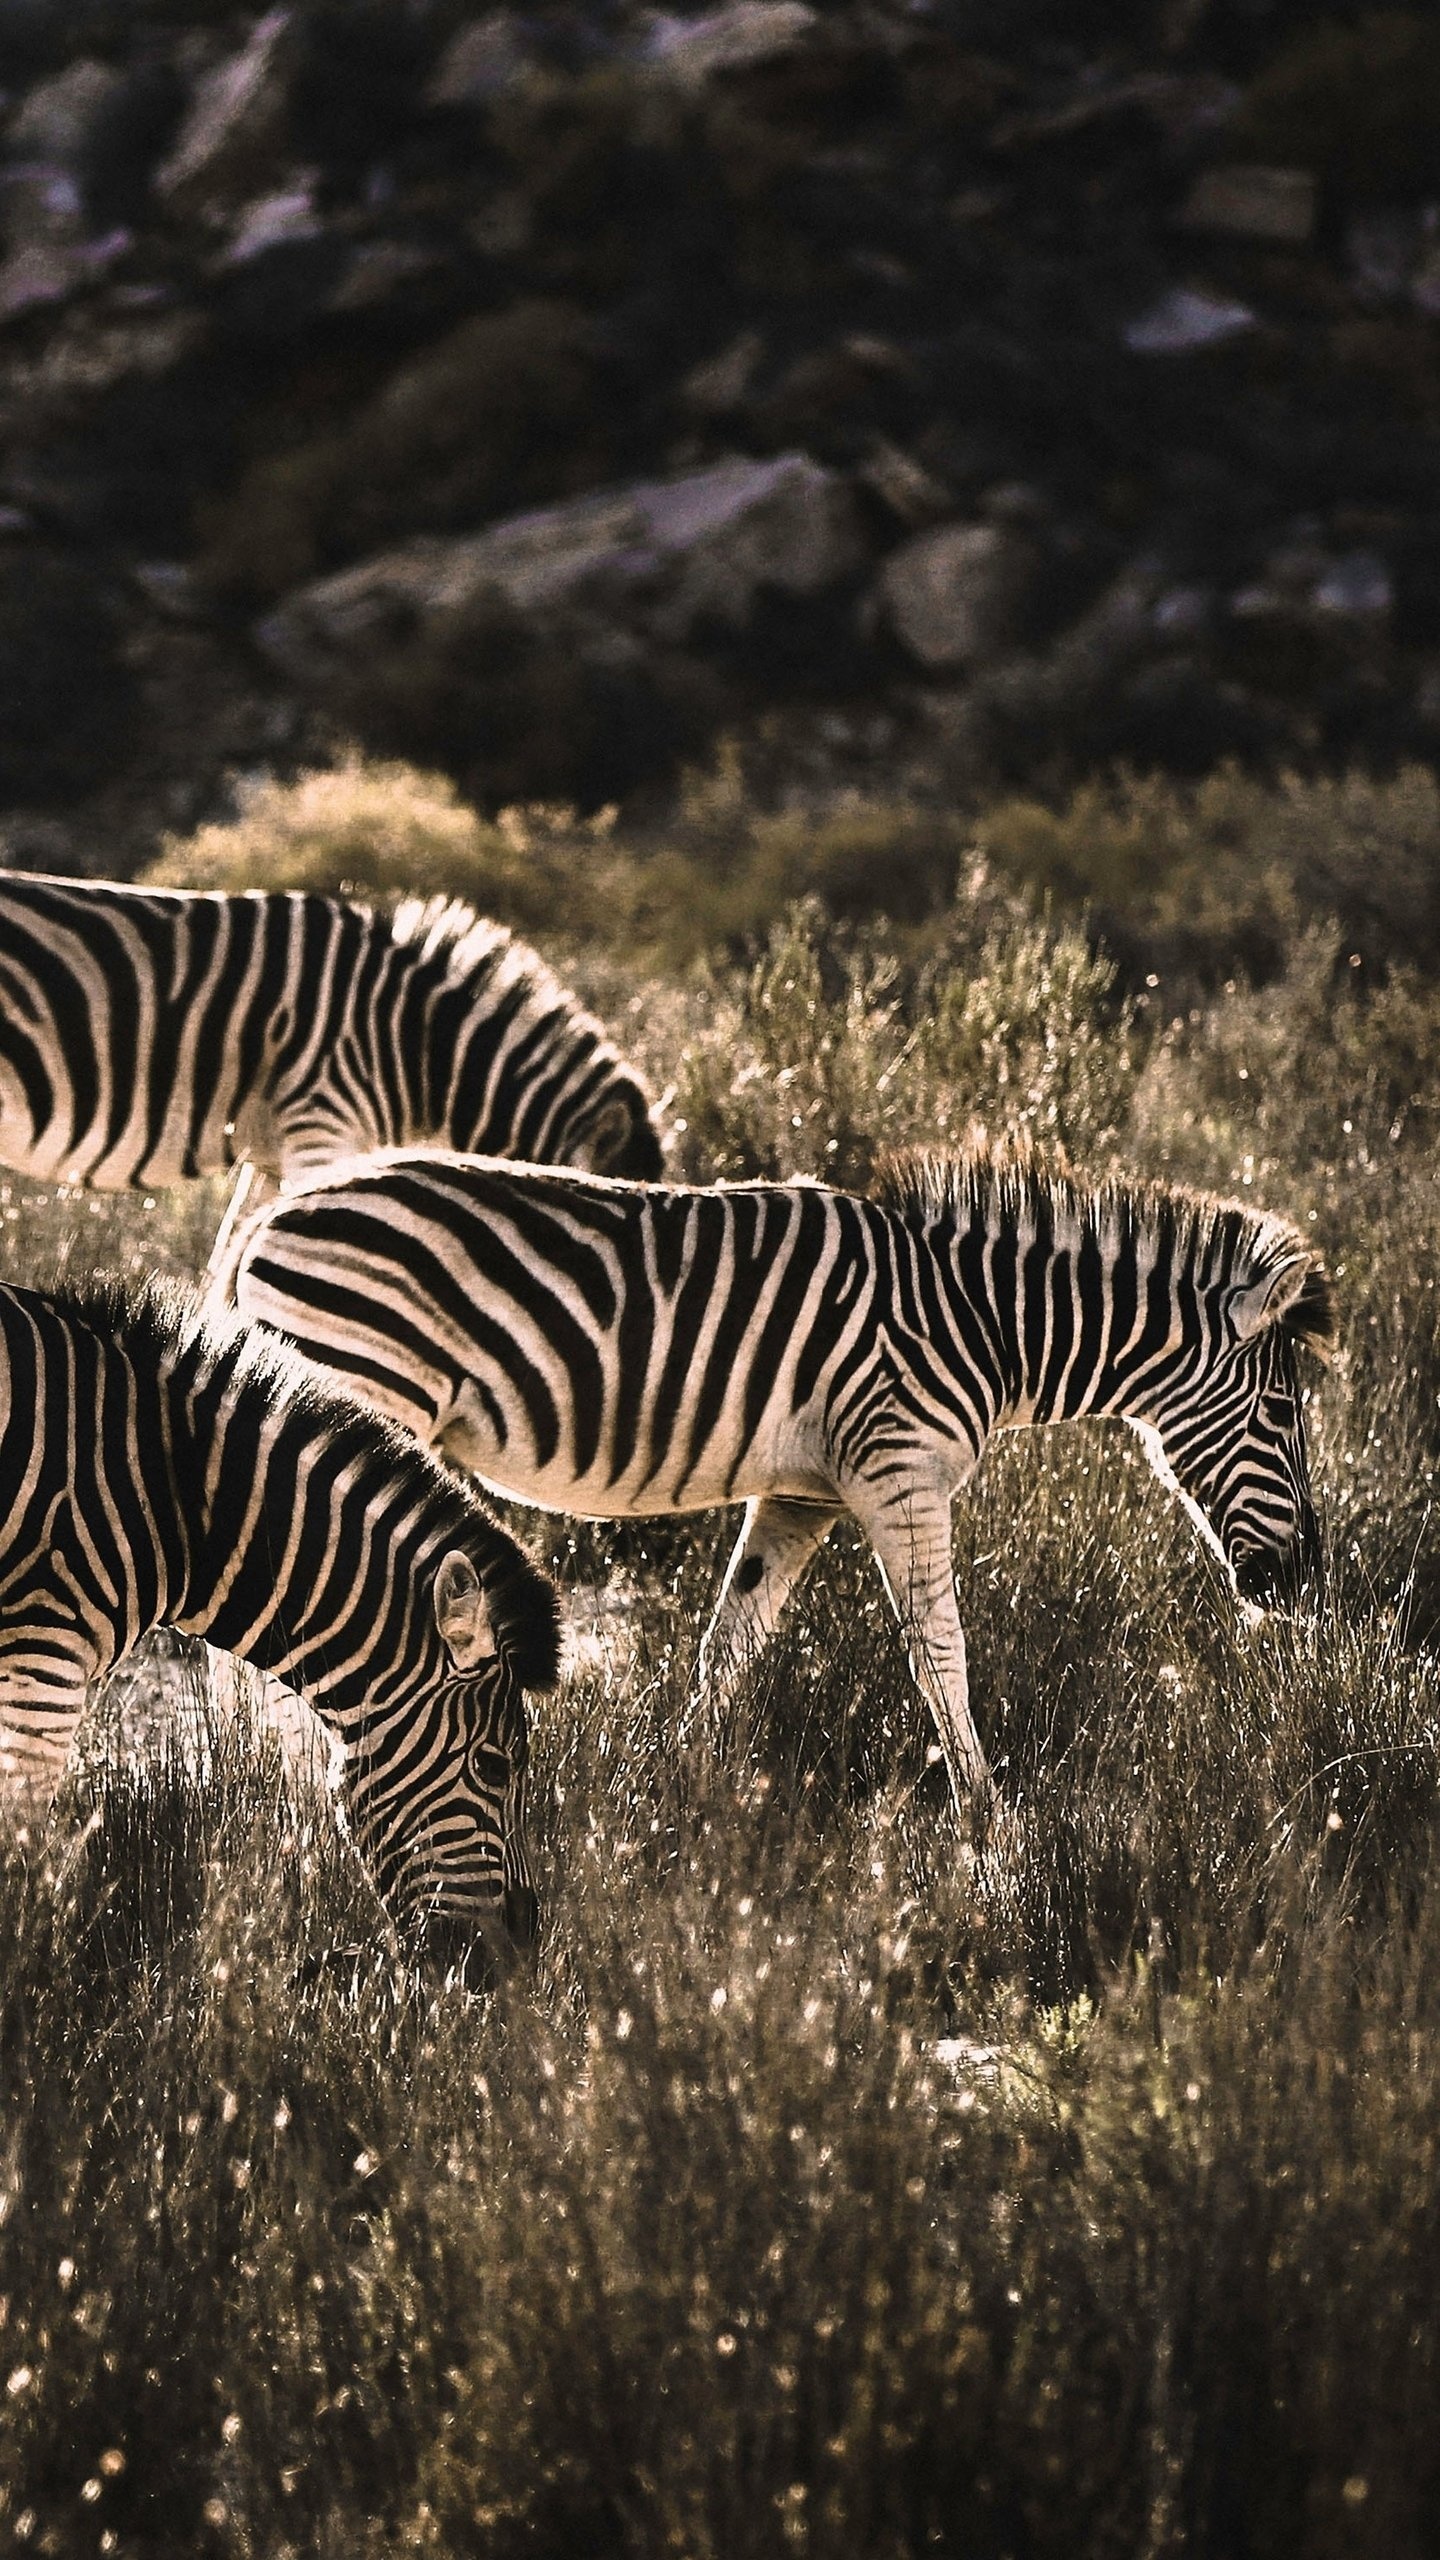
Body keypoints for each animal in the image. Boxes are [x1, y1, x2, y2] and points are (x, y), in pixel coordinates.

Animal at [215, 1131, 1332, 1812]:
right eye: (1283, 1416)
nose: (1301, 1583)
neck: (978, 1322)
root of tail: (273, 1216)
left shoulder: (800, 1496)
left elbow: (729, 1645)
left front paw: (671, 1790)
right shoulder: (898, 1471)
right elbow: (942, 1653)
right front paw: (991, 1829)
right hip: (357, 1387)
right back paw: (274, 1803)